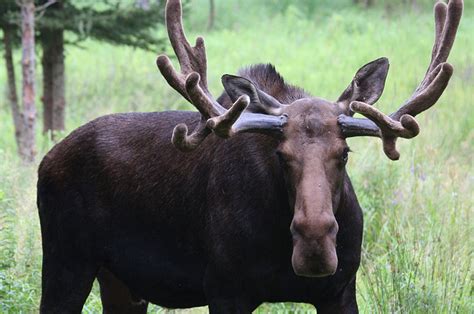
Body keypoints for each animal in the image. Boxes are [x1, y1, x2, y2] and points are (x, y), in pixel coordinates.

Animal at [37, 0, 462, 312]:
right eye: (281, 155)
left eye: (344, 153)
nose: (314, 244)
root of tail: (46, 160)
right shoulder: (225, 288)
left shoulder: (340, 290)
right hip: (65, 262)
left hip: (120, 281)